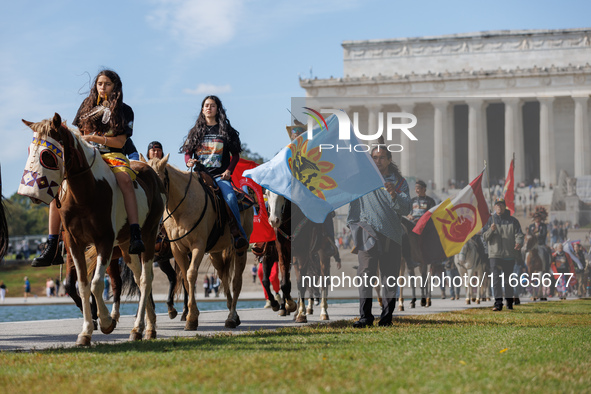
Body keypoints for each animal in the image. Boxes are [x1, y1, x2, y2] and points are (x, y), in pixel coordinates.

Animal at [19, 113, 165, 344]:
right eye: (29, 150)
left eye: (47, 155)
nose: (30, 193)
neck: (86, 192)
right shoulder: (74, 243)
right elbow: (83, 284)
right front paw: (86, 331)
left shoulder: (104, 240)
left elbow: (96, 284)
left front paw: (106, 322)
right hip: (126, 246)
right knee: (139, 279)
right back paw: (145, 327)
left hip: (148, 237)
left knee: (145, 279)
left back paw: (139, 328)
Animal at [149, 155, 253, 330]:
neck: (181, 208)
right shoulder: (178, 249)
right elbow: (184, 278)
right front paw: (190, 314)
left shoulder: (198, 245)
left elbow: (191, 274)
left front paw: (191, 318)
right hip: (215, 252)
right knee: (224, 277)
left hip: (241, 248)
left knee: (236, 281)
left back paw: (232, 317)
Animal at [268, 191, 332, 324]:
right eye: (267, 193)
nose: (274, 220)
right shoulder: (283, 252)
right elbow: (286, 283)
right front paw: (290, 306)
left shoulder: (303, 253)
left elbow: (302, 284)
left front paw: (301, 315)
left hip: (323, 252)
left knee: (323, 280)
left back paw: (323, 312)